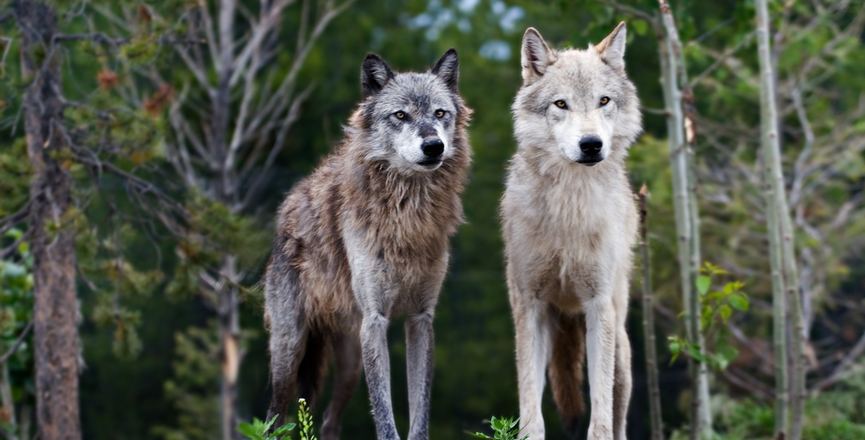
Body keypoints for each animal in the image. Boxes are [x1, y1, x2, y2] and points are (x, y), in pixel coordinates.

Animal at [264, 49, 472, 440]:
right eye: (401, 115)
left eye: (440, 114)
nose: (433, 146)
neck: (407, 213)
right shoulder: (375, 320)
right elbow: (384, 415)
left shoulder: (420, 318)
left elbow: (419, 410)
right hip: (290, 351)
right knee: (273, 419)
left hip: (350, 365)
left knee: (329, 423)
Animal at [500, 23, 640, 440]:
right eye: (561, 104)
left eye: (604, 100)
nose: (591, 144)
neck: (569, 209)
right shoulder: (529, 305)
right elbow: (530, 409)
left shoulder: (597, 306)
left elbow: (600, 416)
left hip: (620, 348)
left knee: (619, 419)